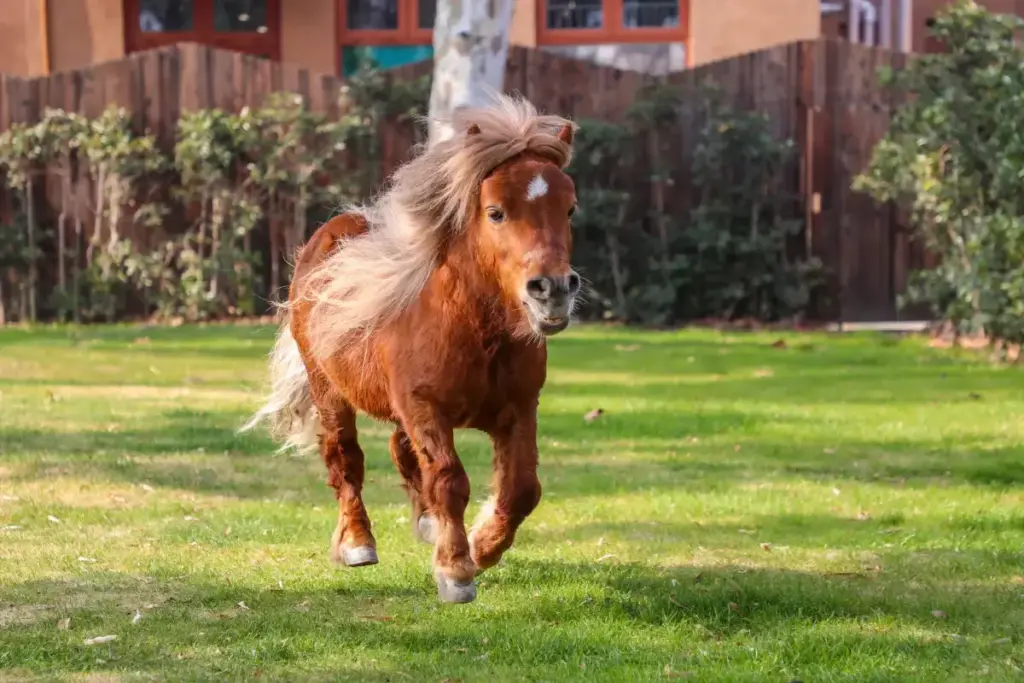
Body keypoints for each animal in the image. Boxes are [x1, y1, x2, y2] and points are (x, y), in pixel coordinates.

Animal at [241, 93, 581, 603]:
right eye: (496, 211)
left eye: (570, 209)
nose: (553, 291)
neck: (475, 332)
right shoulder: (425, 408)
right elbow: (449, 479)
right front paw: (456, 571)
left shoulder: (519, 409)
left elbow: (522, 488)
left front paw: (480, 547)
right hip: (329, 392)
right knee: (346, 459)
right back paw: (358, 543)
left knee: (400, 450)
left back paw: (427, 524)